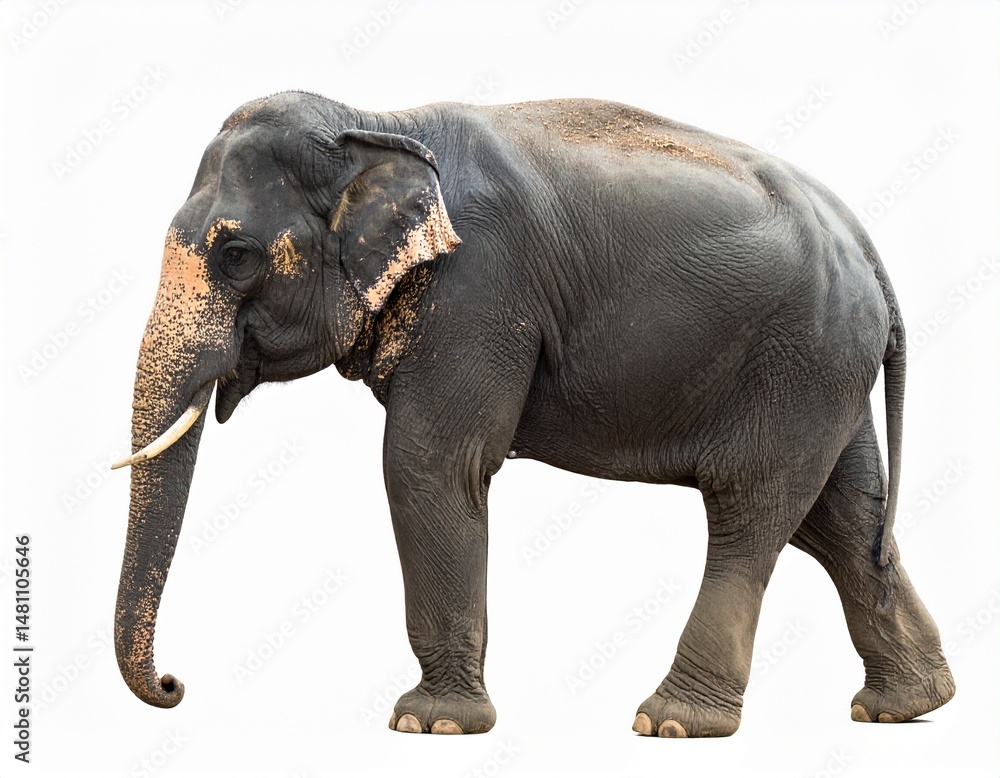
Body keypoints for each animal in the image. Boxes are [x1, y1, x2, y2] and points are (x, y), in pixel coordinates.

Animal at [112, 91, 955, 738]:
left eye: (237, 256)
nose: (174, 686)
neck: (375, 120)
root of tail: (865, 243)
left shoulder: (480, 287)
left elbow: (428, 462)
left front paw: (430, 724)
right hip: (826, 367)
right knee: (842, 517)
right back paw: (906, 707)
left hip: (799, 358)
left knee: (752, 511)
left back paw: (673, 723)